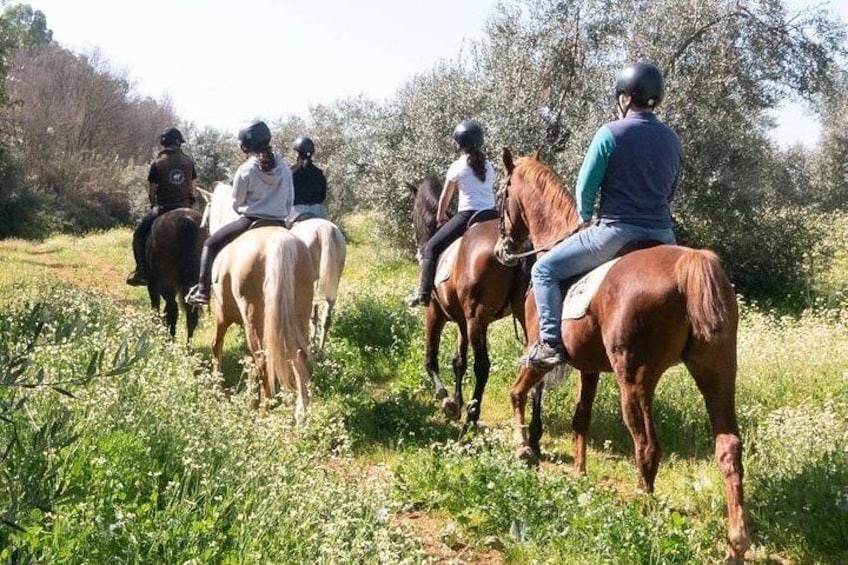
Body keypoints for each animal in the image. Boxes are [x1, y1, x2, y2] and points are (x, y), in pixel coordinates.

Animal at [144, 206, 207, 340]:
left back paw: (169, 339)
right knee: (190, 314)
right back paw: (187, 344)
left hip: (166, 284)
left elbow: (156, 306)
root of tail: (184, 220)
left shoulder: (152, 284)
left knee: (172, 309)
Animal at [197, 183, 314, 420]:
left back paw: (264, 412)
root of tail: (280, 243)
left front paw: (217, 388)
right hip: (298, 316)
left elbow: (216, 346)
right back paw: (300, 412)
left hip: (253, 317)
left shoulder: (222, 315)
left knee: (262, 359)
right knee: (298, 355)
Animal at [410, 174, 528, 426]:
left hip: (476, 319)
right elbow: (459, 362)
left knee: (482, 366)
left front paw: (448, 401)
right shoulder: (462, 322)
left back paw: (472, 419)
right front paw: (457, 401)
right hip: (522, 314)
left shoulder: (435, 314)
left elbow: (430, 360)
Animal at [494, 150, 752, 560]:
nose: (502, 250)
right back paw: (736, 543)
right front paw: (580, 474)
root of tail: (690, 264)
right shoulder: (588, 368)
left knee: (646, 446)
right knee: (728, 447)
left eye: (500, 191)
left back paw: (642, 516)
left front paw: (524, 449)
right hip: (718, 373)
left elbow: (517, 392)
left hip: (633, 377)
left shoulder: (540, 354)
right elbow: (580, 419)